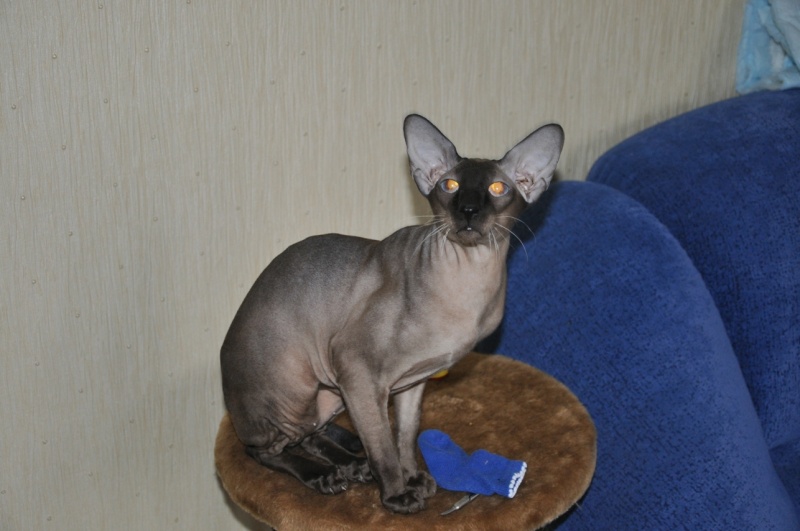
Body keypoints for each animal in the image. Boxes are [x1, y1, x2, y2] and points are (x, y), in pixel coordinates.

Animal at [220, 114, 563, 514]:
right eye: (450, 185)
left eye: (497, 188)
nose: (468, 211)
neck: (469, 282)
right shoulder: (359, 371)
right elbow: (382, 444)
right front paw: (398, 495)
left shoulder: (413, 381)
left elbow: (404, 435)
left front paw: (412, 478)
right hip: (300, 387)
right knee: (263, 449)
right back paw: (326, 475)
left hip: (331, 394)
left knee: (310, 434)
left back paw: (351, 464)